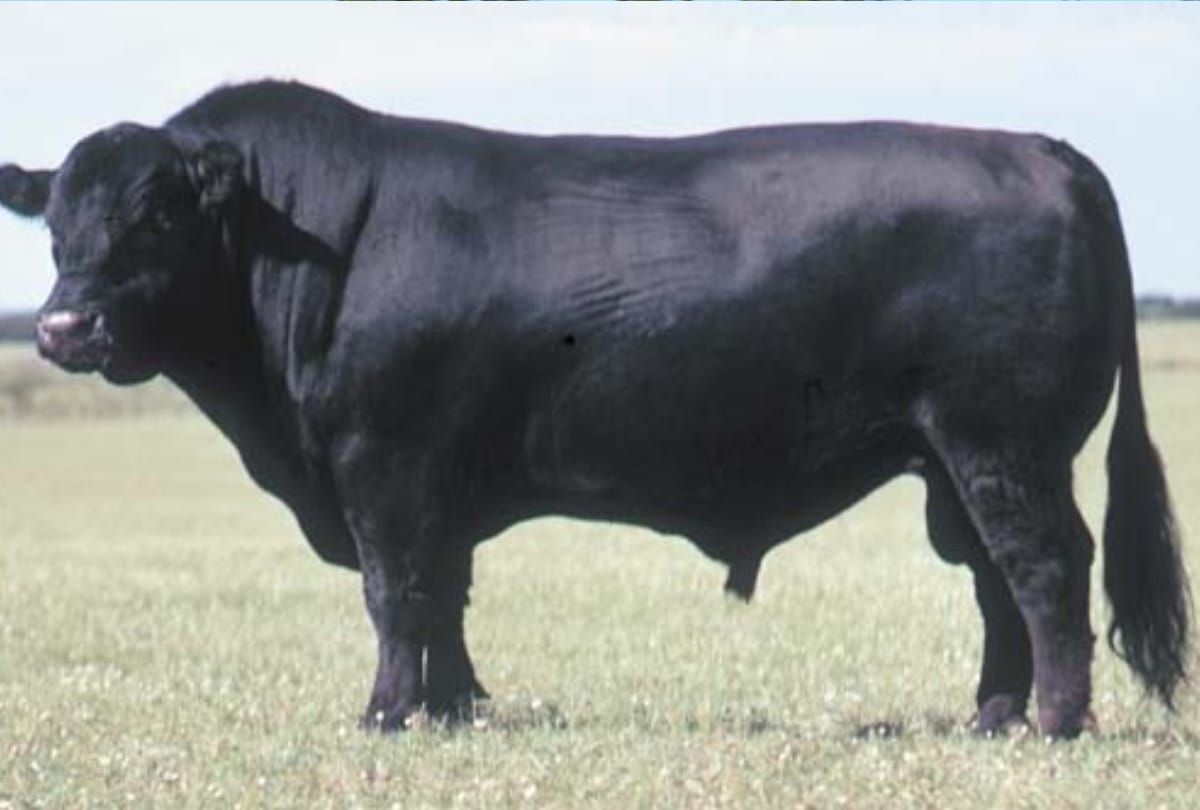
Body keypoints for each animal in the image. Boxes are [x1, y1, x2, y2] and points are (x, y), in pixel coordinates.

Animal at [0, 81, 1188, 738]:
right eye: (56, 224)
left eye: (156, 216)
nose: (61, 330)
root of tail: (1039, 149)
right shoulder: (434, 485)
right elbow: (445, 598)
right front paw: (454, 707)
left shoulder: (384, 467)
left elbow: (397, 595)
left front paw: (387, 714)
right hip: (953, 461)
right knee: (994, 582)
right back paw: (991, 715)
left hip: (1004, 447)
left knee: (1043, 568)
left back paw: (1053, 722)